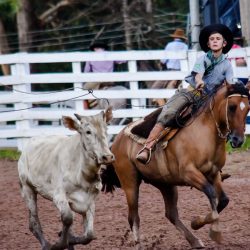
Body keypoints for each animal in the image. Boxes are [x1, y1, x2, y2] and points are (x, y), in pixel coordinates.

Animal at [101, 83, 250, 248]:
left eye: (247, 108)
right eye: (232, 107)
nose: (238, 140)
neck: (204, 132)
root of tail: (117, 141)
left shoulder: (213, 173)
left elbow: (223, 200)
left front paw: (196, 223)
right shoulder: (189, 173)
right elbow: (212, 194)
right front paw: (214, 231)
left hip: (165, 183)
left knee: (171, 214)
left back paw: (194, 241)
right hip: (130, 182)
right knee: (133, 217)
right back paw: (139, 244)